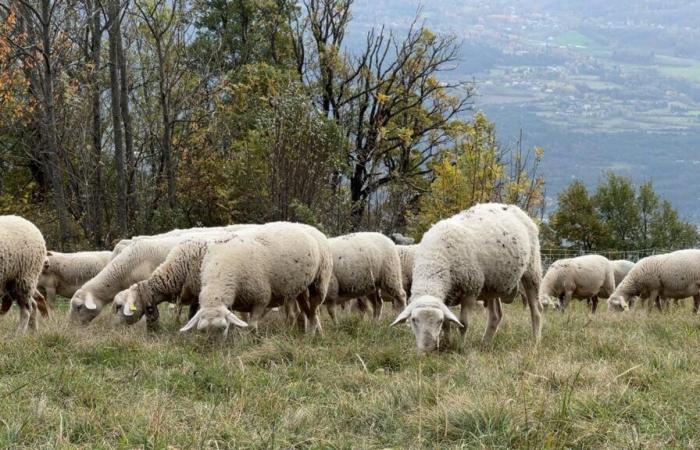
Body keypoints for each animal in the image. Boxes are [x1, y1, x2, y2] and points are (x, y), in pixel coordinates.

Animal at [180, 223, 334, 336]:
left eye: (222, 328)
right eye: (202, 331)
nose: (213, 348)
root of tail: (311, 228)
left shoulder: (261, 298)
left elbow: (252, 326)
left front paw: (252, 340)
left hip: (319, 282)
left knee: (314, 310)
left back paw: (313, 334)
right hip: (301, 288)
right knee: (307, 311)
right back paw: (308, 332)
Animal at [394, 202, 540, 354]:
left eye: (438, 321)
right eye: (413, 320)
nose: (427, 350)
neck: (434, 259)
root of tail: (513, 207)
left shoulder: (470, 292)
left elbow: (463, 324)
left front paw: (460, 348)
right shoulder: (447, 297)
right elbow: (448, 323)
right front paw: (446, 345)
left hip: (532, 270)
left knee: (536, 312)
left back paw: (535, 342)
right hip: (492, 283)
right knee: (496, 316)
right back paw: (485, 344)